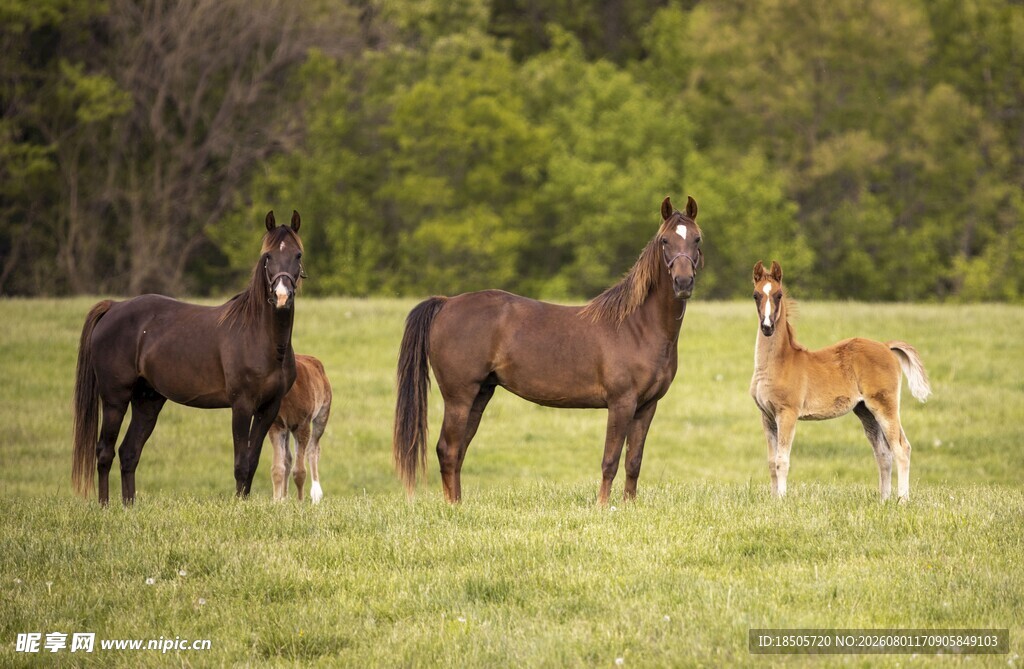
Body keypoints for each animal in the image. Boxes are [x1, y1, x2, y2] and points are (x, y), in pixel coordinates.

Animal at [72, 210, 304, 505]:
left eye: (297, 254)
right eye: (268, 256)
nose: (282, 296)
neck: (260, 337)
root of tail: (114, 307)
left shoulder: (268, 408)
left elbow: (251, 462)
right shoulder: (241, 405)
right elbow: (241, 463)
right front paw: (239, 506)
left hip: (147, 401)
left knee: (129, 452)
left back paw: (129, 506)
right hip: (115, 400)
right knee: (105, 452)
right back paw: (105, 506)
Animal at [268, 354, 332, 504]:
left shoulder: (303, 424)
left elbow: (300, 471)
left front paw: (300, 502)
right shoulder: (276, 425)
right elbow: (277, 468)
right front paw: (276, 502)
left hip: (322, 414)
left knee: (313, 449)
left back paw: (316, 495)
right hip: (287, 428)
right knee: (288, 458)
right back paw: (284, 498)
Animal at [393, 196, 704, 504]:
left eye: (697, 239)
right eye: (664, 240)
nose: (683, 282)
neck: (636, 326)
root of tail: (445, 303)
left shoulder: (647, 406)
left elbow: (633, 462)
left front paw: (629, 505)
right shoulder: (621, 403)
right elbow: (611, 460)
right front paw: (602, 506)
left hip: (480, 394)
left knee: (458, 451)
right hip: (459, 396)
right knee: (448, 449)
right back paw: (453, 508)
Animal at [749, 260, 931, 501]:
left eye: (778, 295)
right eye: (756, 295)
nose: (767, 327)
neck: (779, 363)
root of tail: (885, 346)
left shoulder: (787, 413)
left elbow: (782, 461)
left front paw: (782, 500)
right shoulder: (767, 416)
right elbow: (771, 462)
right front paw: (773, 500)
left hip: (885, 405)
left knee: (901, 448)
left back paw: (902, 501)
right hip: (865, 411)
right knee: (883, 453)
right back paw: (884, 500)